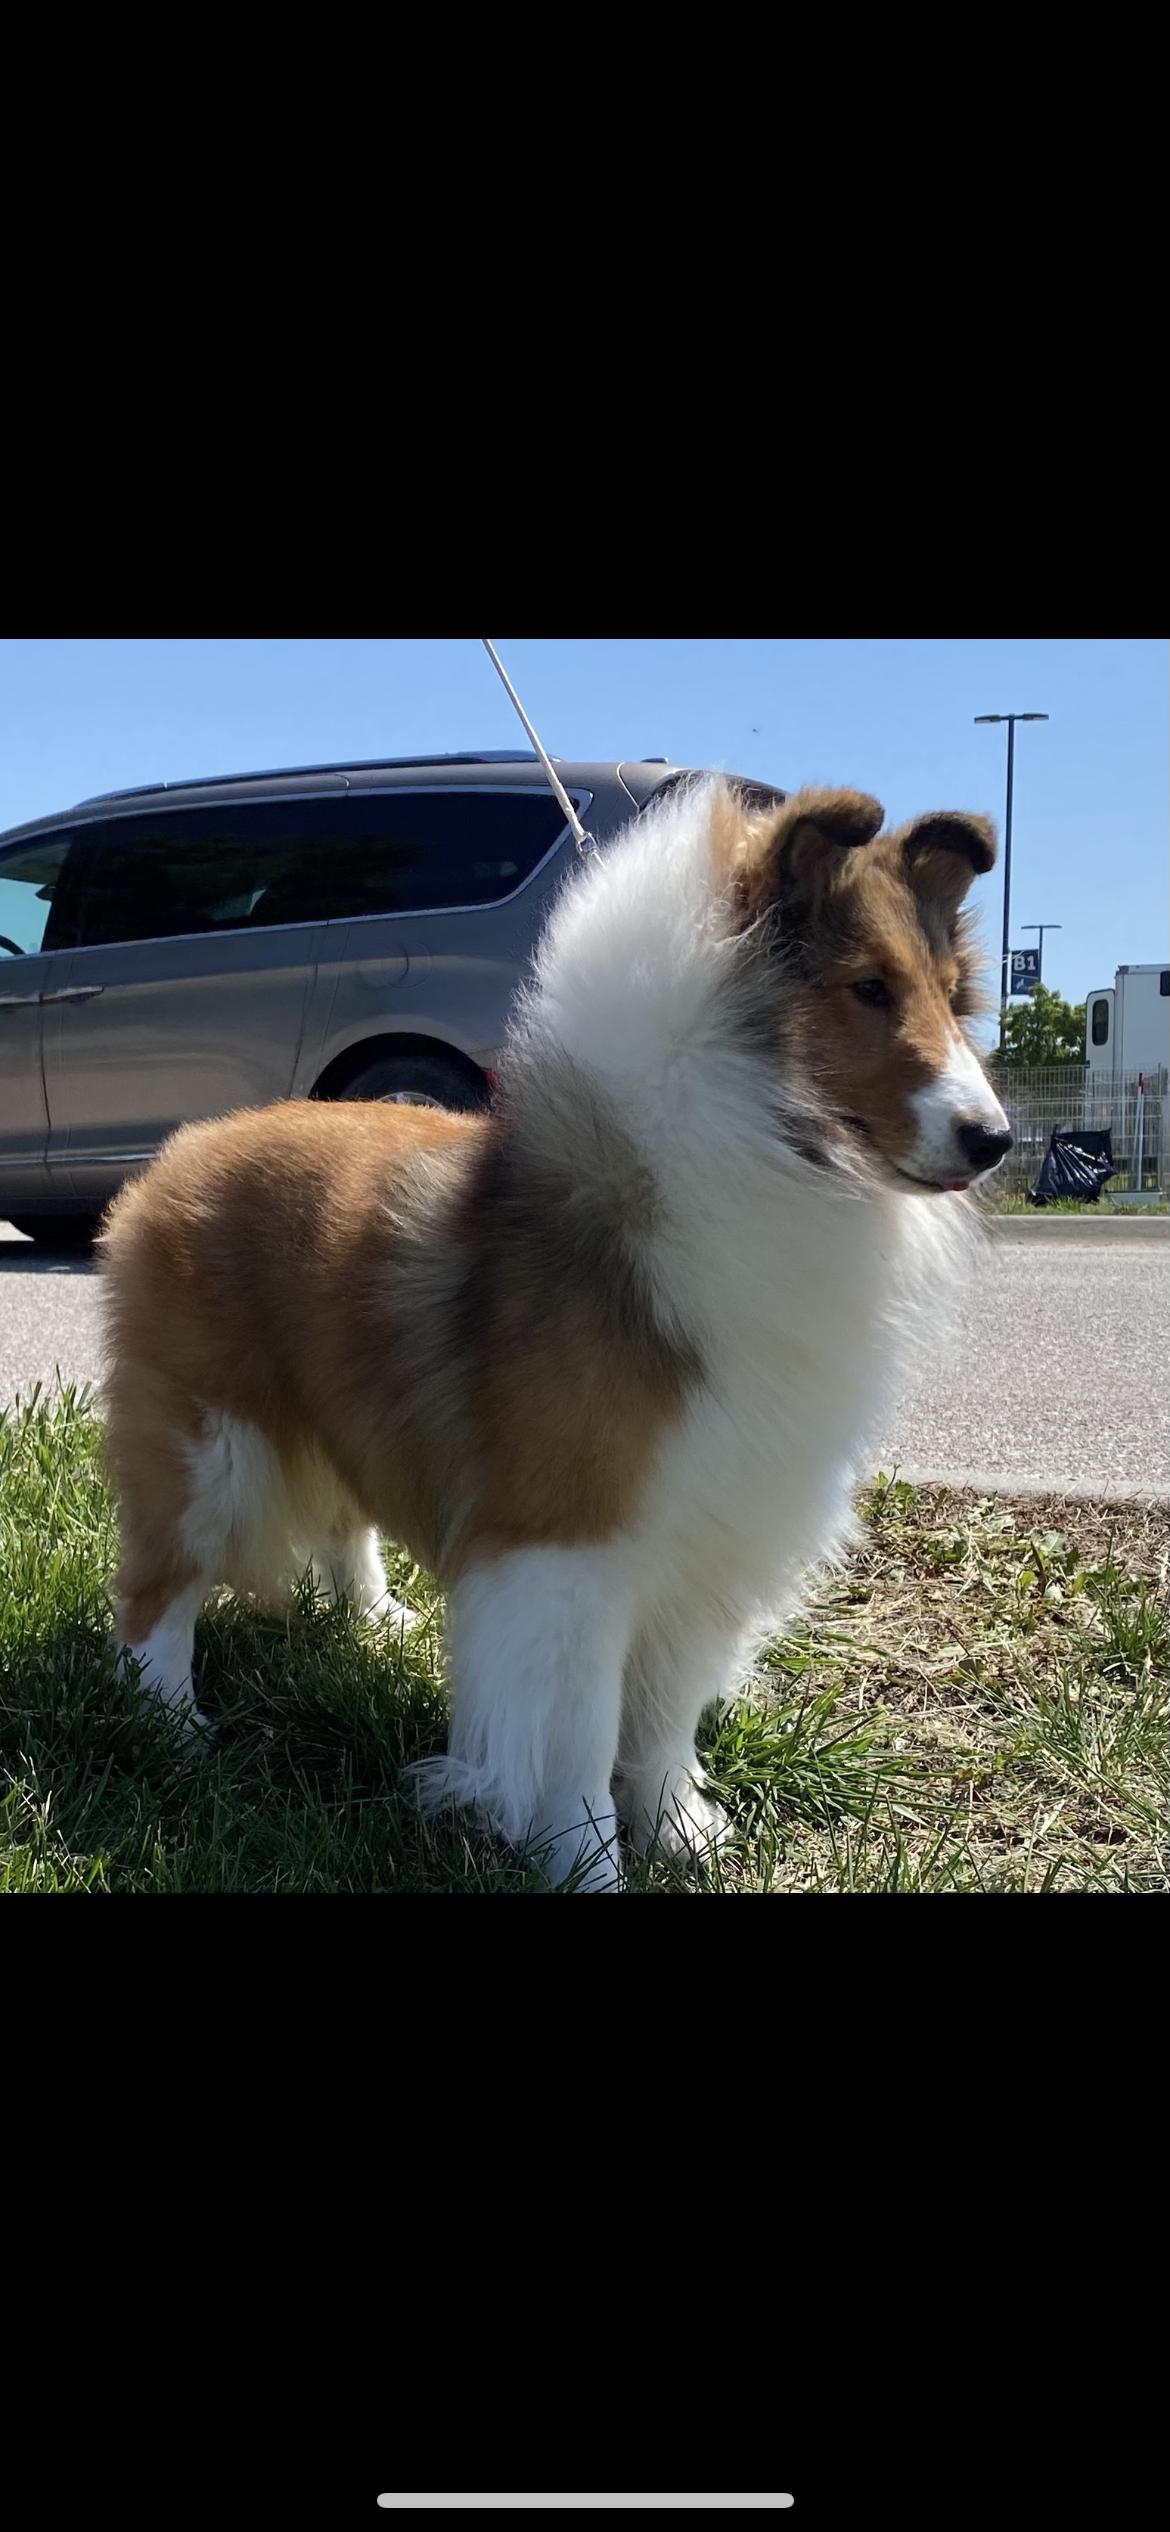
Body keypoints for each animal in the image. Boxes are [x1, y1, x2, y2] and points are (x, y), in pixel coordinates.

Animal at [99, 777, 1012, 1888]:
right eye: (868, 987)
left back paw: (375, 1619)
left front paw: (678, 1830)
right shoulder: (573, 1549)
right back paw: (173, 1732)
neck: (756, 1143)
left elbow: (662, 1717)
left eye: (950, 993)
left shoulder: (713, 1525)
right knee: (155, 1592)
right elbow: (577, 1735)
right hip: (207, 1447)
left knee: (342, 1521)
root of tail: (181, 1152)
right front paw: (584, 1861)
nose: (993, 1138)